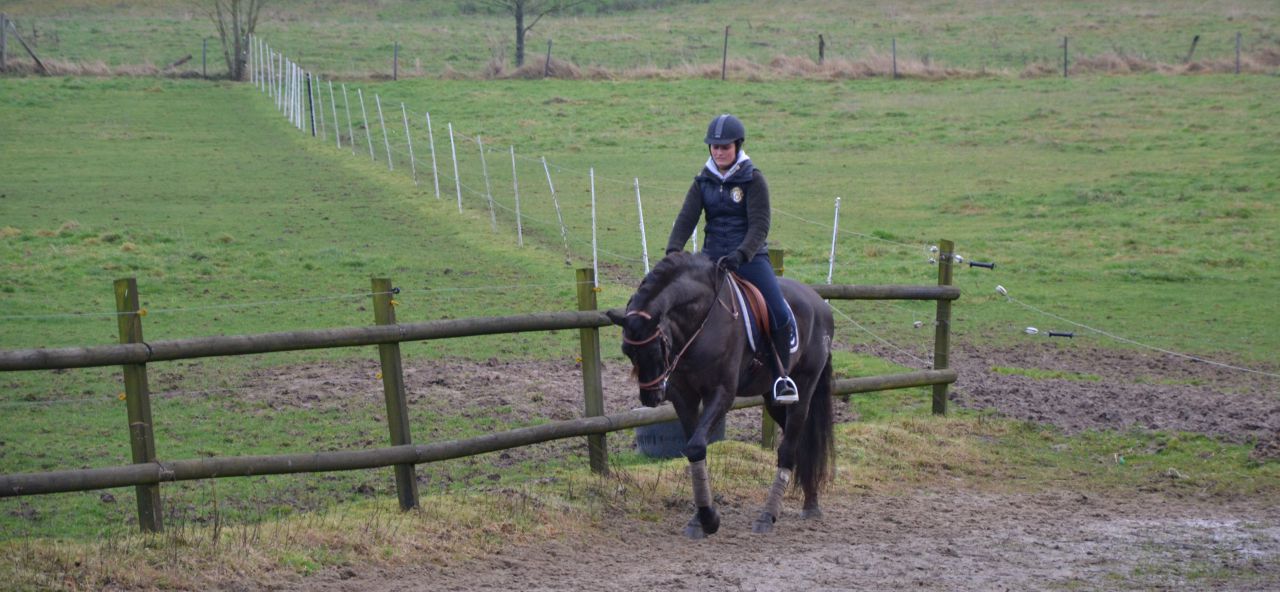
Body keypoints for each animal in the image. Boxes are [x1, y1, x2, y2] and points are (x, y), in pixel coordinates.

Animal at [606, 251, 836, 538]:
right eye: (627, 351)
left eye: (658, 346)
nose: (651, 398)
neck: (701, 322)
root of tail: (820, 304)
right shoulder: (684, 397)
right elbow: (693, 448)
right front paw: (699, 519)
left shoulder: (722, 393)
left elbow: (696, 445)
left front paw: (709, 519)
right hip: (772, 400)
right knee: (801, 443)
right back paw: (811, 503)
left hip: (803, 389)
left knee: (788, 449)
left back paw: (768, 516)